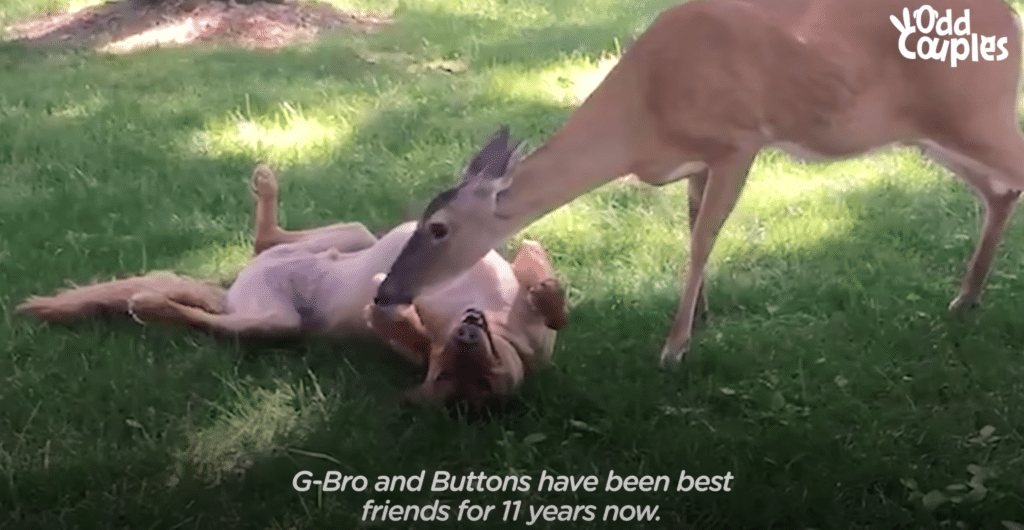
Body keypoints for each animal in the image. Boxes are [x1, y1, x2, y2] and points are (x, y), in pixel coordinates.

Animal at [16, 147, 569, 405]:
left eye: (479, 380)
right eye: (455, 370)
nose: (464, 336)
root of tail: (231, 291)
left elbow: (399, 330)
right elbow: (542, 279)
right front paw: (545, 286)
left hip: (270, 322)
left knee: (208, 317)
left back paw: (153, 305)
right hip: (352, 235)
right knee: (268, 240)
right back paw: (265, 188)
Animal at [372, 0, 1024, 368]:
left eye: (438, 228)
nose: (384, 294)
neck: (643, 119)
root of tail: (1011, 22)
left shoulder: (739, 140)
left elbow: (700, 240)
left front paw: (674, 346)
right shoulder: (699, 162)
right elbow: (693, 230)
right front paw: (702, 317)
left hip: (973, 113)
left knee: (1007, 178)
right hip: (930, 134)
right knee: (999, 190)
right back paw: (965, 299)